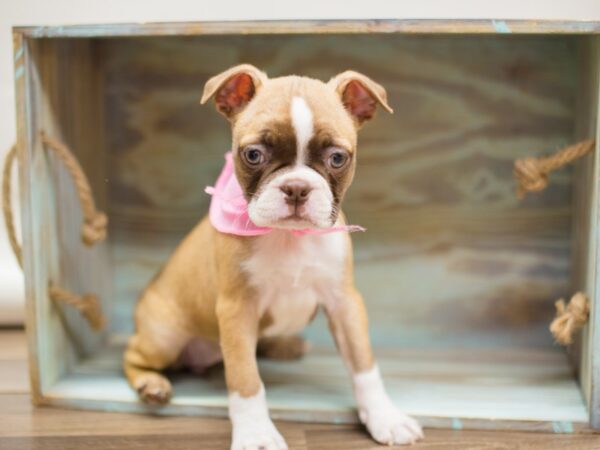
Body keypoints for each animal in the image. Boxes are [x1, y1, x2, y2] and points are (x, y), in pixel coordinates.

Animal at [123, 64, 422, 450]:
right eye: (253, 154)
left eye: (337, 158)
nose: (296, 187)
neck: (289, 237)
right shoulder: (237, 310)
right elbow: (246, 380)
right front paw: (256, 434)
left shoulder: (344, 303)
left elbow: (364, 364)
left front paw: (385, 416)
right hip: (163, 338)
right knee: (133, 354)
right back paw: (152, 384)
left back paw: (284, 345)